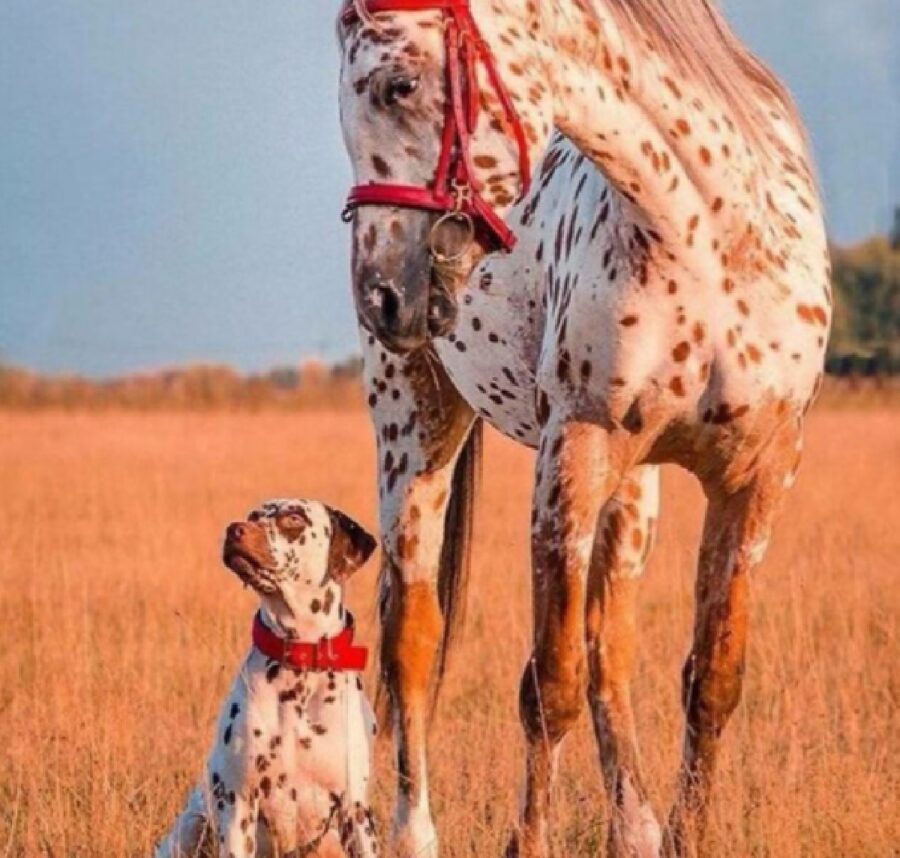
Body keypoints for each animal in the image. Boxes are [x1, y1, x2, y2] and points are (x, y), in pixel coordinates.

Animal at [155, 498, 380, 852]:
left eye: (294, 518)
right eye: (253, 515)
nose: (234, 529)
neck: (300, 664)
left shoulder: (355, 810)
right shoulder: (239, 804)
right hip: (191, 826)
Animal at [336, 1, 828, 856]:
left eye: (399, 84)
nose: (381, 294)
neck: (710, 236)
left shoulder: (756, 480)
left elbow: (709, 680)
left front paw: (681, 835)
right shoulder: (570, 459)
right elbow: (549, 684)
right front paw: (525, 841)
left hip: (636, 489)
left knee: (612, 647)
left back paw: (634, 826)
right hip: (413, 429)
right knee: (414, 639)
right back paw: (413, 833)